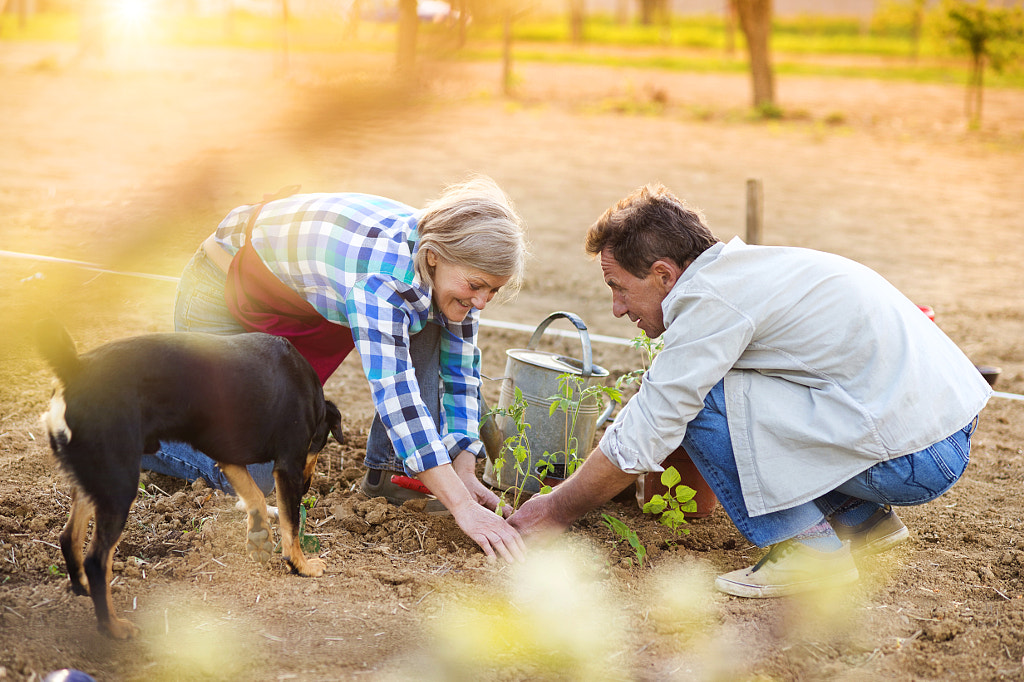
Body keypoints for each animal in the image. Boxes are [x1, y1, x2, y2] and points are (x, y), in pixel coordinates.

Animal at [36, 319, 342, 638]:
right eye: (321, 444)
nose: (308, 486)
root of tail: (75, 367)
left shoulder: (226, 455)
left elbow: (255, 496)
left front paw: (259, 535)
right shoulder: (288, 466)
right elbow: (290, 523)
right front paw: (301, 565)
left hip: (97, 480)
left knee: (68, 537)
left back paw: (81, 588)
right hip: (119, 485)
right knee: (96, 560)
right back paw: (113, 627)